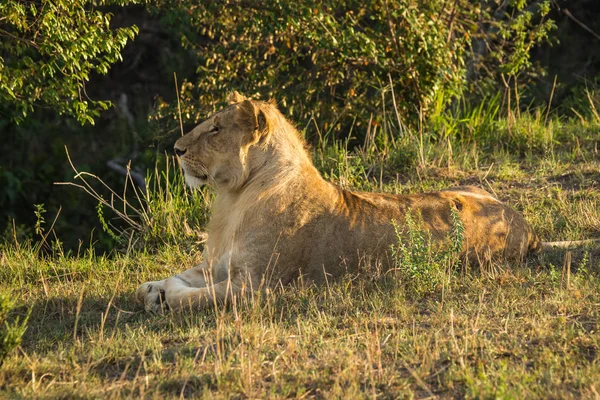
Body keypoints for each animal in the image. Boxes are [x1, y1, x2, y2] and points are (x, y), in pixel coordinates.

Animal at [137, 91, 544, 312]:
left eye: (216, 129)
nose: (176, 149)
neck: (236, 198)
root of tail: (523, 221)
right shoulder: (219, 264)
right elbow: (181, 275)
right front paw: (152, 286)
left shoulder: (256, 287)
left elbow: (193, 297)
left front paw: (164, 296)